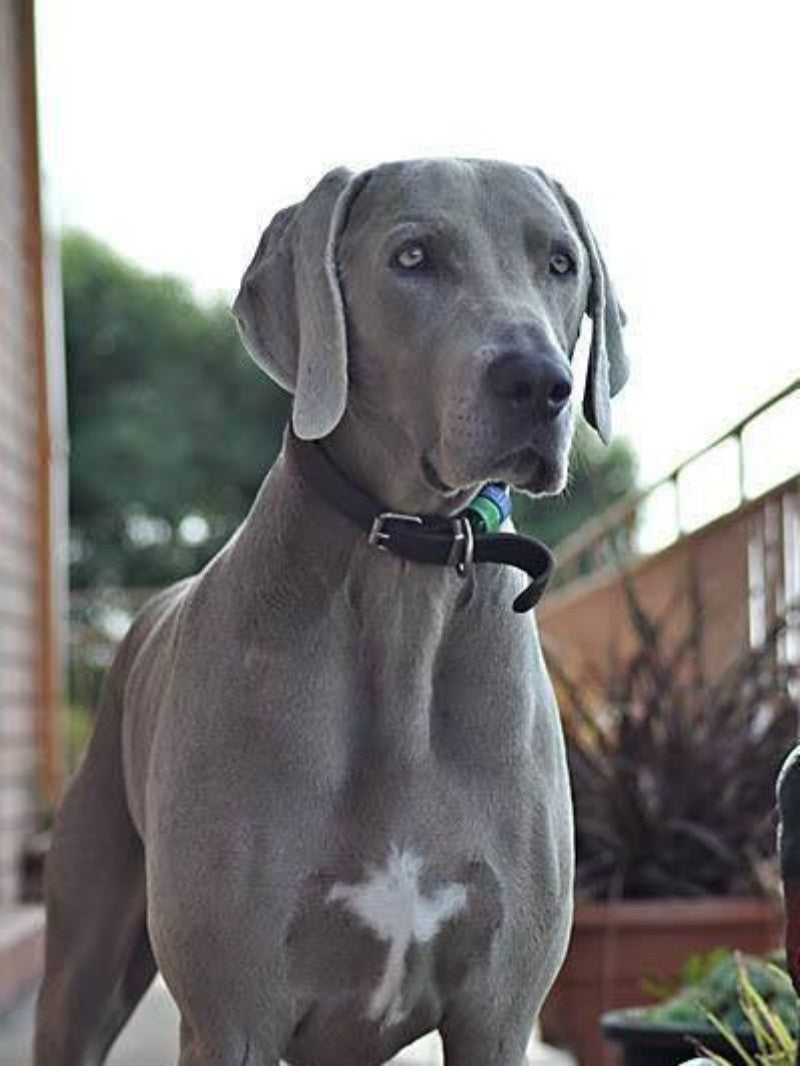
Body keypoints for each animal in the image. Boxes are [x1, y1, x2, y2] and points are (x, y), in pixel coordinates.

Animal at [34, 159, 631, 1066]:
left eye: (561, 264)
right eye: (413, 257)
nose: (539, 383)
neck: (408, 578)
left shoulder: (499, 1012)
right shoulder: (231, 1014)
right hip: (83, 953)